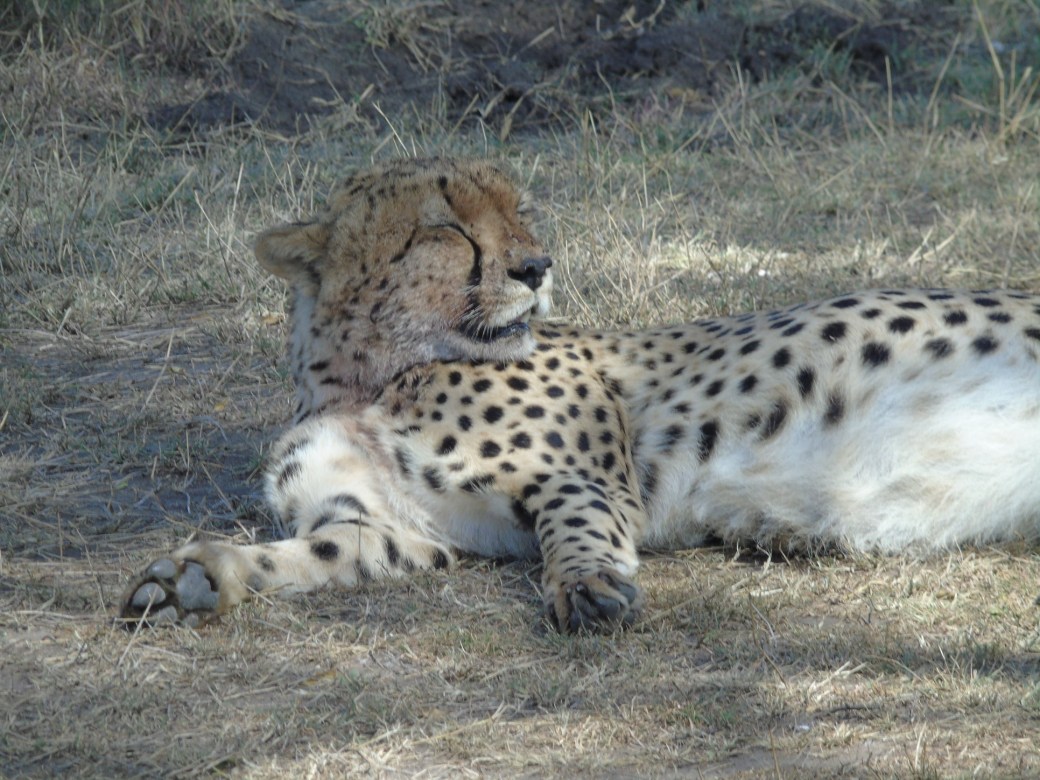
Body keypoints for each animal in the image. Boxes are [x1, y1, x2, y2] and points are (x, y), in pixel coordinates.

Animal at [121, 156, 1040, 633]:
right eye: (444, 226)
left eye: (522, 212)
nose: (537, 266)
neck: (369, 376)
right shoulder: (398, 531)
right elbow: (314, 554)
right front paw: (198, 576)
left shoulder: (586, 477)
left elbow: (577, 522)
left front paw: (588, 585)